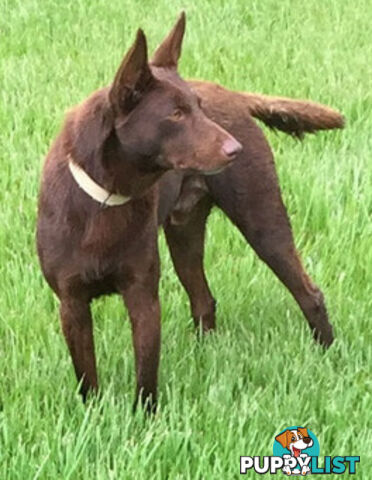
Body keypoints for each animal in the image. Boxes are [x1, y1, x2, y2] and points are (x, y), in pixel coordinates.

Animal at [36, 13, 342, 410]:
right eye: (177, 114)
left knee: (309, 293)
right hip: (184, 235)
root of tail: (234, 96)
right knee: (203, 299)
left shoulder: (143, 297)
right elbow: (87, 378)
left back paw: (329, 356)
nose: (235, 149)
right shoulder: (71, 303)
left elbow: (146, 377)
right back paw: (206, 355)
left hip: (262, 221)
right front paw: (94, 415)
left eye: (198, 107)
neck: (106, 198)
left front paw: (143, 421)